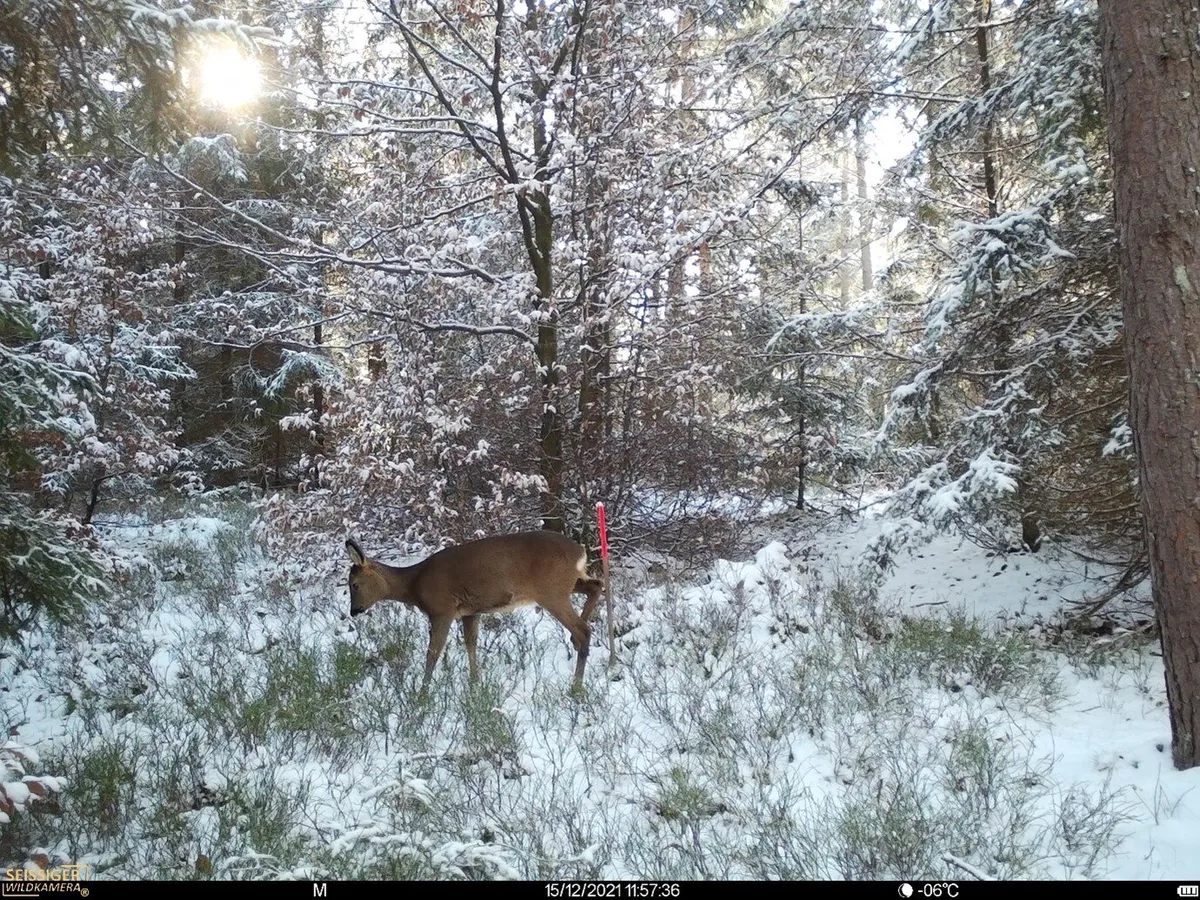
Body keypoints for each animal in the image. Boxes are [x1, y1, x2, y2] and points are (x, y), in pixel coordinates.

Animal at [345, 531, 604, 695]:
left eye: (354, 584)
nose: (354, 611)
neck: (415, 584)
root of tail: (580, 552)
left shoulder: (442, 609)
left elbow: (433, 653)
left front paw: (422, 695)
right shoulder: (471, 612)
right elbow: (471, 643)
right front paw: (474, 684)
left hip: (551, 591)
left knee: (584, 629)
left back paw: (576, 686)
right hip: (567, 584)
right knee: (596, 585)